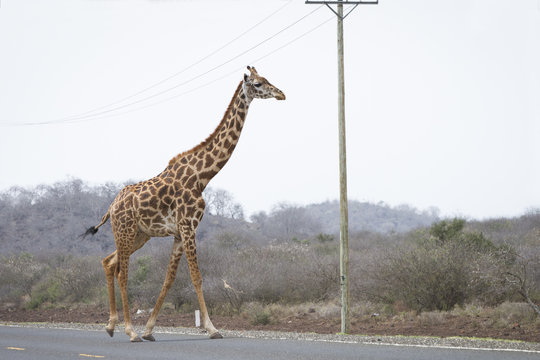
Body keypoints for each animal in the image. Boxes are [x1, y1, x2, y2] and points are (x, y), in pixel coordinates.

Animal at [82, 66, 284, 342]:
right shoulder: (189, 227)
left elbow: (169, 278)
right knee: (122, 272)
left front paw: (150, 329)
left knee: (108, 262)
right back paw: (129, 331)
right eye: (258, 83)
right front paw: (212, 328)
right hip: (125, 231)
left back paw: (112, 326)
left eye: (266, 79)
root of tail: (111, 208)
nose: (281, 94)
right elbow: (197, 277)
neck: (202, 176)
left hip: (140, 235)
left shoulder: (179, 232)